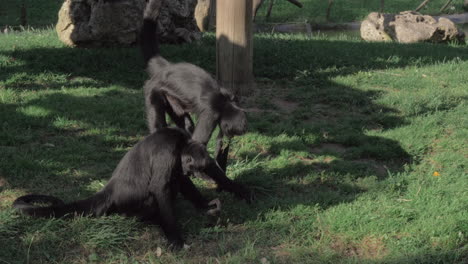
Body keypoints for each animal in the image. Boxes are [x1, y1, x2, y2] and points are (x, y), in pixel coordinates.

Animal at [11, 128, 249, 250]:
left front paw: (206, 205)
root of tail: (109, 191)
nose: (193, 173)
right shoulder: (167, 152)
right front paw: (176, 240)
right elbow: (159, 187)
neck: (180, 141)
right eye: (193, 168)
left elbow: (179, 180)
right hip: (134, 205)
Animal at [140, 0, 247, 171]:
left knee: (187, 125)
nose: (230, 136)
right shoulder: (211, 113)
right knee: (159, 127)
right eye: (231, 131)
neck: (225, 102)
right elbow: (198, 144)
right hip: (153, 90)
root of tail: (166, 68)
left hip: (172, 99)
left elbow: (219, 143)